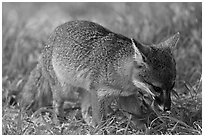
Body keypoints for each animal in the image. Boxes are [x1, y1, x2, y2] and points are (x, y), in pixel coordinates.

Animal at [18, 20, 178, 126]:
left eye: (172, 86)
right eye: (156, 88)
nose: (167, 108)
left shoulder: (126, 96)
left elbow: (137, 117)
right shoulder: (98, 93)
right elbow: (100, 120)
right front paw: (101, 130)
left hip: (85, 92)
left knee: (83, 110)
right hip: (65, 91)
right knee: (56, 104)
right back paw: (60, 123)